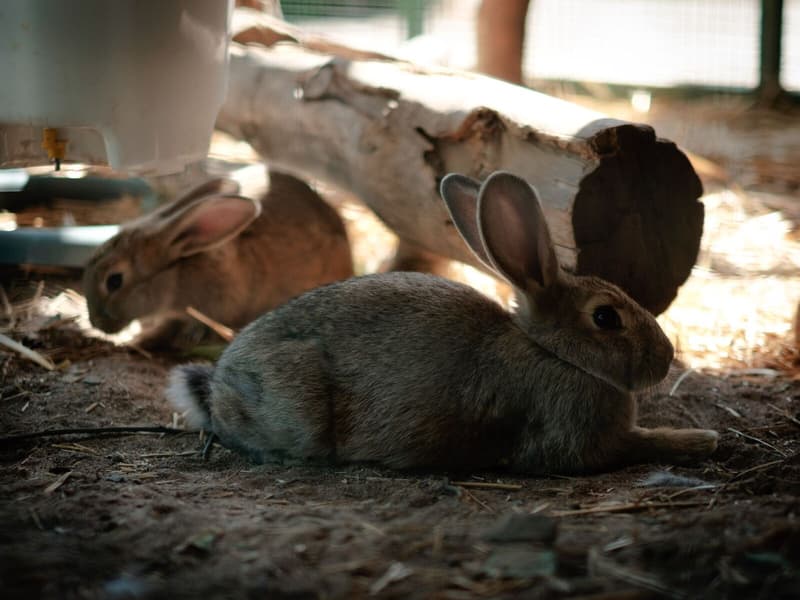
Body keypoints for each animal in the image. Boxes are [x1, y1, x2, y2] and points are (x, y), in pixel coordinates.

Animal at [166, 171, 718, 474]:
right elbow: (638, 443)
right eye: (606, 317)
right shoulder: (574, 441)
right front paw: (704, 440)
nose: (666, 359)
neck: (552, 354)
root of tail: (219, 382)